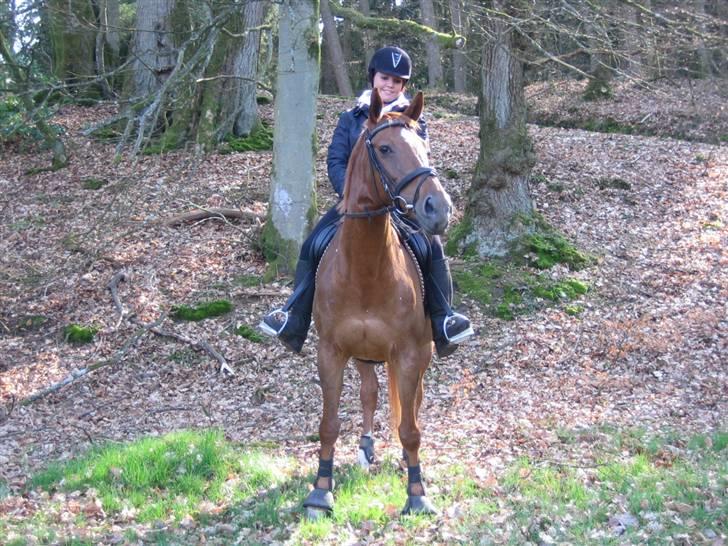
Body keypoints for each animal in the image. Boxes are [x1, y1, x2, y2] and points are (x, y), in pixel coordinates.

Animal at [303, 88, 452, 518]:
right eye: (384, 148)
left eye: (424, 145)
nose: (439, 208)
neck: (366, 271)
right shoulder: (331, 351)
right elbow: (329, 424)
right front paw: (320, 491)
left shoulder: (409, 353)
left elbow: (411, 427)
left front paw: (416, 493)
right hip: (364, 355)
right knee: (369, 393)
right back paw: (366, 448)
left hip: (419, 353)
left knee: (412, 401)